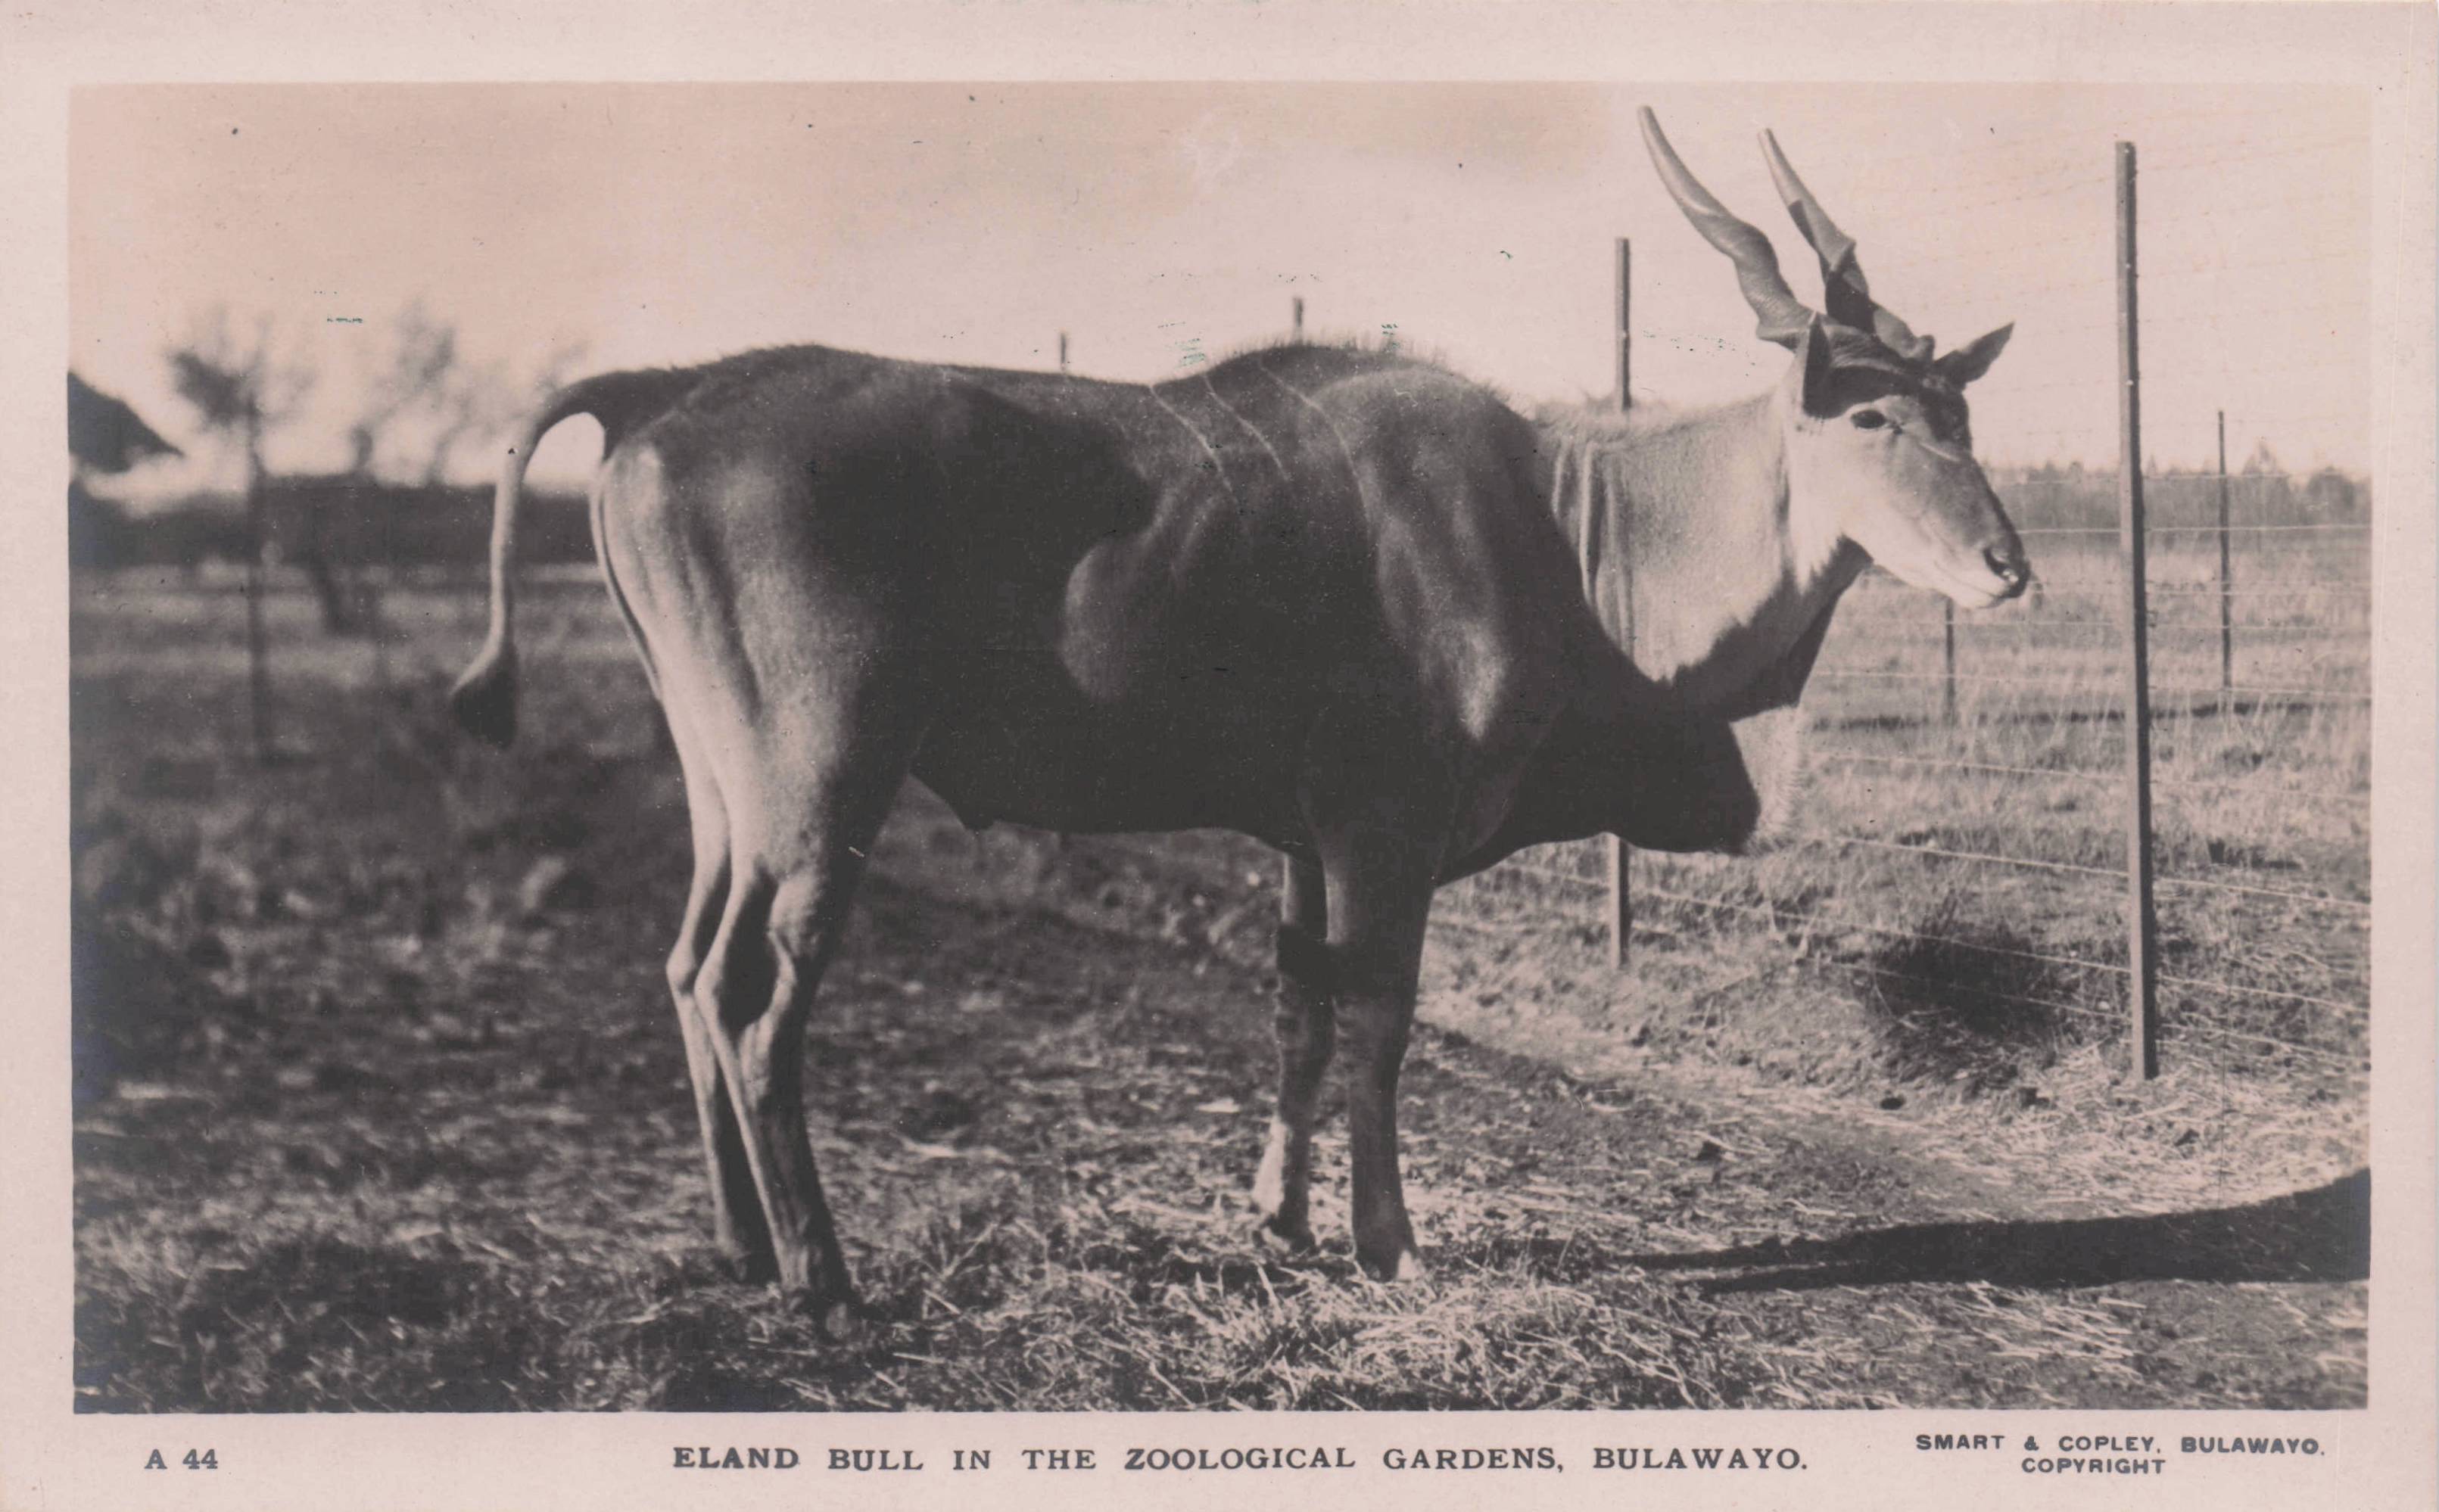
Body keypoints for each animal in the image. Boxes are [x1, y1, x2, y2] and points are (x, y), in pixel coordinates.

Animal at [451, 109, 2027, 1326]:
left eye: (1962, 414)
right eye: (1873, 418)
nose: (2006, 563)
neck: (1567, 531)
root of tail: (663, 398)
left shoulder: (1301, 836)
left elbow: (1296, 1010)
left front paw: (1279, 1216)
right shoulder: (1384, 823)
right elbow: (1379, 1013)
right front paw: (1388, 1242)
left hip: (726, 788)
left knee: (685, 962)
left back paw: (738, 1245)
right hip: (821, 780)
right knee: (755, 995)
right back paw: (822, 1278)